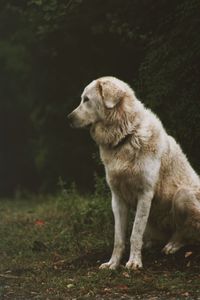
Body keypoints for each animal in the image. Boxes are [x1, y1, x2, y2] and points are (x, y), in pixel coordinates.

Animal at [68, 77, 200, 270]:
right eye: (81, 99)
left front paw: (134, 263)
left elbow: (135, 233)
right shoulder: (117, 198)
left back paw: (172, 245)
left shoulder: (144, 194)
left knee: (187, 231)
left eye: (86, 99)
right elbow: (119, 238)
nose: (68, 118)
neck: (126, 136)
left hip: (183, 195)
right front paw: (113, 264)